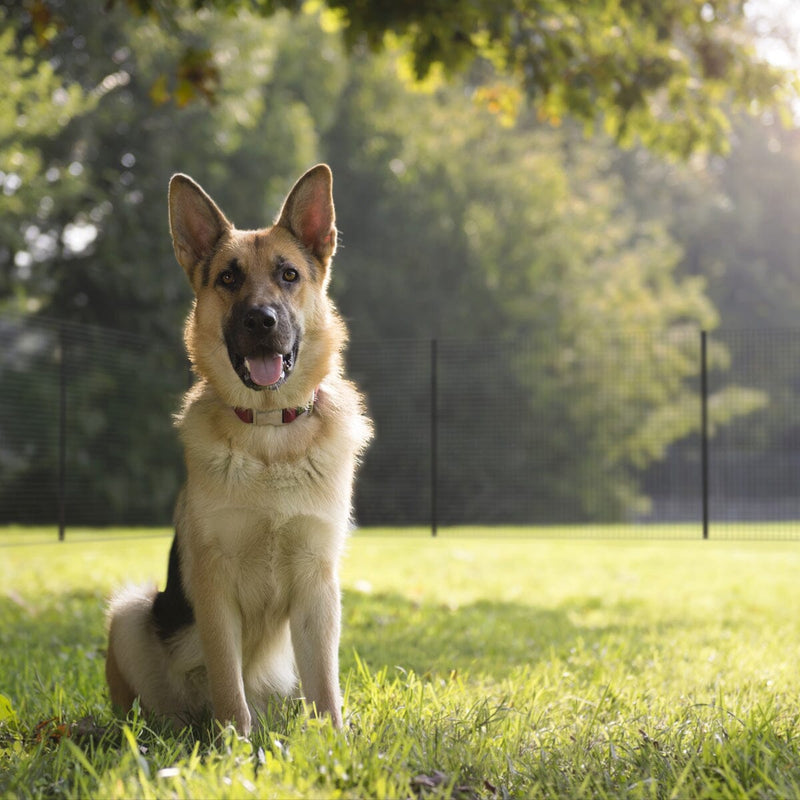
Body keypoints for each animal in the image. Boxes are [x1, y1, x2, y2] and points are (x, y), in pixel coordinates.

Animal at [102, 166, 372, 736]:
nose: (261, 321)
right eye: (228, 278)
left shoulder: (318, 585)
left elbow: (325, 687)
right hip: (130, 614)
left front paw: (334, 741)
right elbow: (229, 682)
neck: (269, 433)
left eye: (288, 275)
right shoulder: (213, 585)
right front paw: (233, 745)